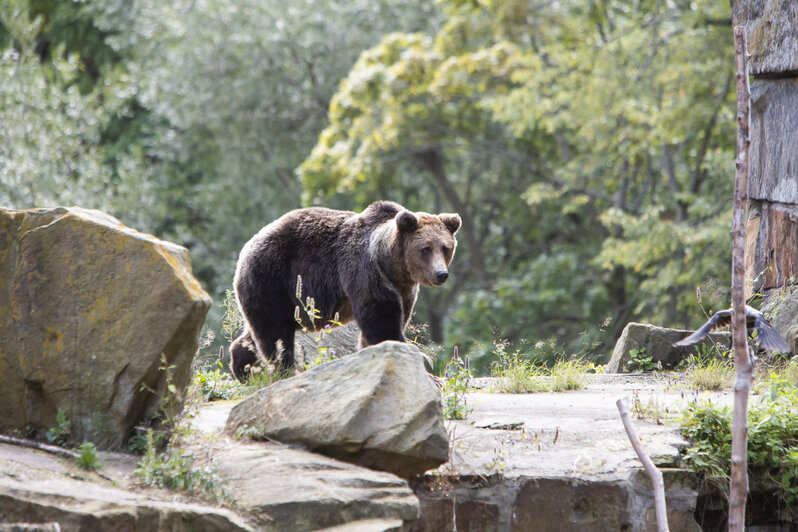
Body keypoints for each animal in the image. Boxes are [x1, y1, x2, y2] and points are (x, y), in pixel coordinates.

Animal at [228, 202, 462, 380]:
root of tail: (247, 247)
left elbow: (395, 317)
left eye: (445, 248)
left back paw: (244, 368)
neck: (392, 266)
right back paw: (284, 370)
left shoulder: (404, 289)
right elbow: (381, 318)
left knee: (259, 330)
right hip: (273, 278)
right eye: (426, 249)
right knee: (275, 333)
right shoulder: (364, 272)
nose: (441, 274)